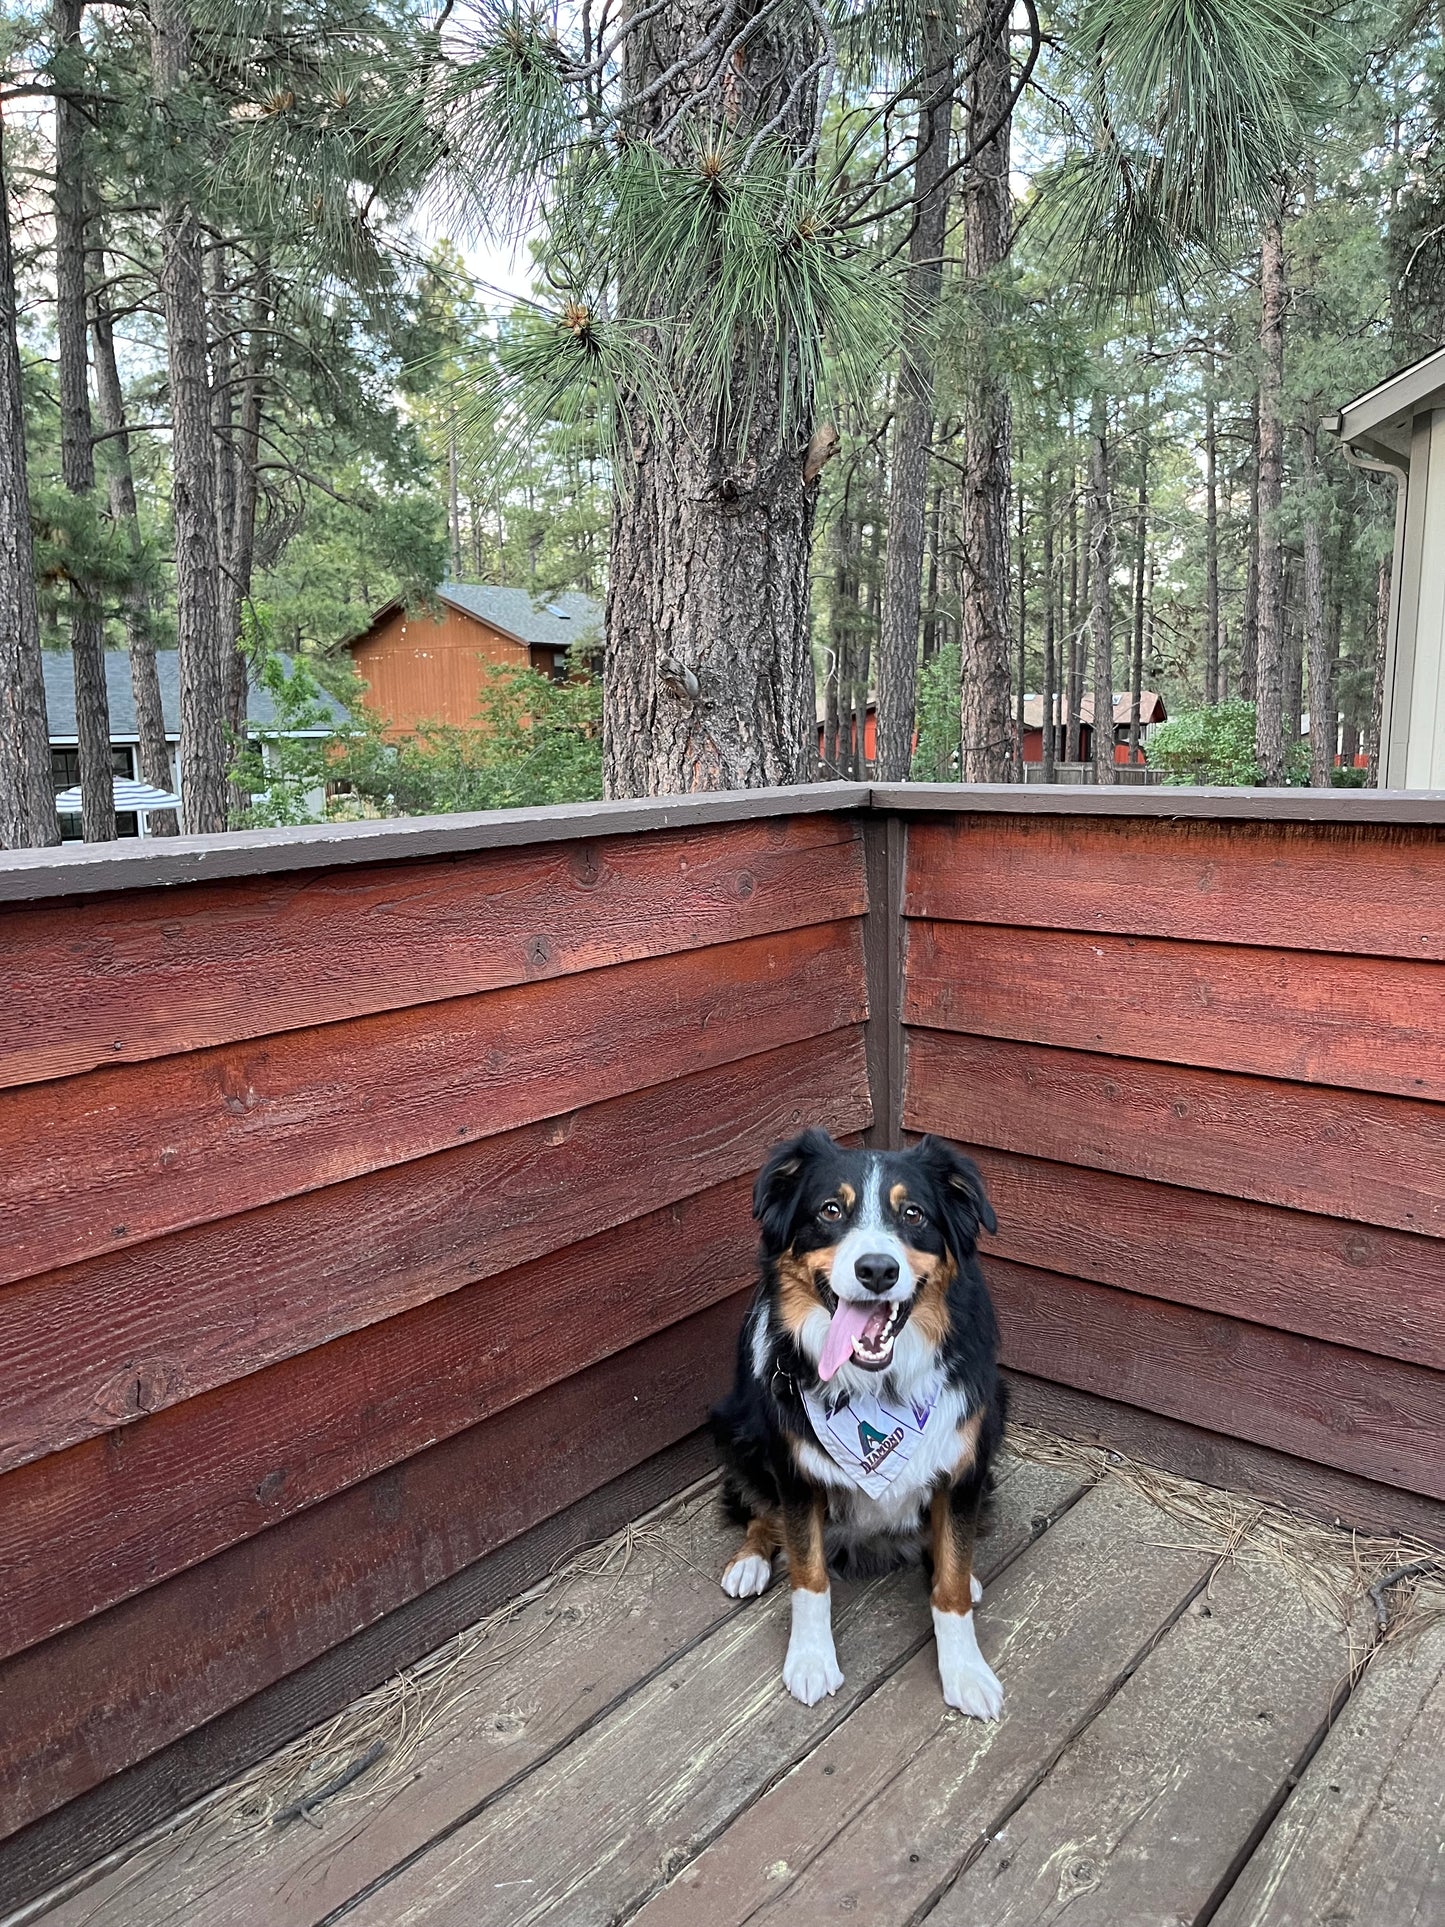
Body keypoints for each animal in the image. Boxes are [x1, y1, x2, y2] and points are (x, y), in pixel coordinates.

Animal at [712, 1125, 1009, 1718]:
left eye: (914, 1214)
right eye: (830, 1210)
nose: (876, 1269)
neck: (877, 1387)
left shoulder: (964, 1467)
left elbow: (951, 1584)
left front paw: (965, 1670)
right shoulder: (796, 1472)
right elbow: (809, 1575)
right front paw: (809, 1661)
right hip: (739, 1430)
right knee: (758, 1510)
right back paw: (749, 1561)